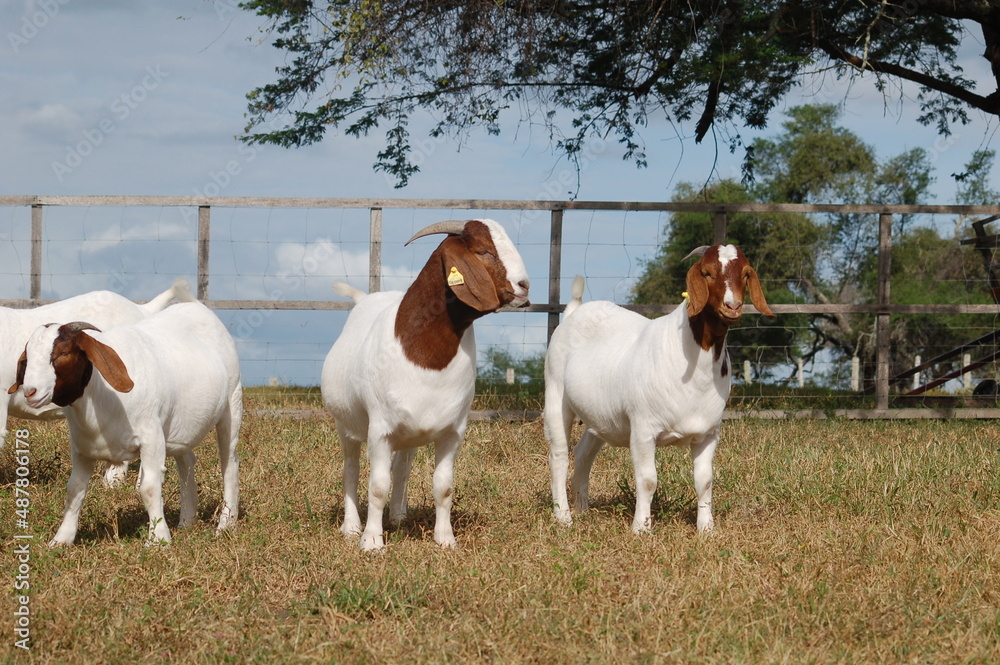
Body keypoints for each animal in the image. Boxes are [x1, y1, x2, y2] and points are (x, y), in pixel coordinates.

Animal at [8, 296, 242, 546]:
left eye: (62, 353)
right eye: (28, 357)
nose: (30, 391)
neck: (101, 393)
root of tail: (197, 306)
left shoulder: (151, 438)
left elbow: (149, 488)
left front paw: (158, 539)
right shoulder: (82, 447)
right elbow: (74, 489)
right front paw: (61, 540)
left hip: (232, 403)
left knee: (229, 464)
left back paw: (226, 524)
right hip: (180, 426)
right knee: (187, 461)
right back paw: (187, 521)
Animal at [322, 219, 530, 551]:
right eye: (483, 251)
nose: (524, 286)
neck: (422, 352)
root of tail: (363, 299)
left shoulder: (452, 431)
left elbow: (443, 487)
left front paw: (445, 539)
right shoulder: (379, 429)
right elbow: (376, 486)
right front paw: (371, 541)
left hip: (409, 435)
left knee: (402, 468)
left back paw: (397, 516)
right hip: (346, 425)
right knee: (351, 470)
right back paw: (351, 525)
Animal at [544, 244, 773, 534]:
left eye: (745, 274)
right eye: (707, 272)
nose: (732, 306)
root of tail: (575, 311)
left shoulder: (709, 433)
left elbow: (705, 481)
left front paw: (706, 529)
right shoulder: (643, 428)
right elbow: (648, 480)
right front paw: (641, 528)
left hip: (600, 417)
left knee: (583, 452)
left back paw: (582, 508)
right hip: (555, 394)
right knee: (559, 455)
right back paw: (563, 516)